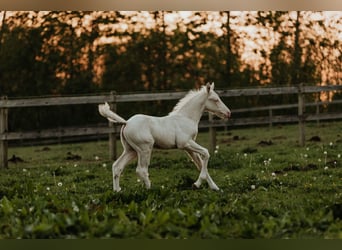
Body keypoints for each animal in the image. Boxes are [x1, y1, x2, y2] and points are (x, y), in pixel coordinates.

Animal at [100, 82, 231, 191]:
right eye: (215, 99)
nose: (228, 113)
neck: (186, 118)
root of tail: (126, 122)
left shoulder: (189, 147)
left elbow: (200, 164)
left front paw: (214, 187)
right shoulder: (185, 143)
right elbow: (206, 153)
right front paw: (196, 184)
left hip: (131, 150)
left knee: (117, 166)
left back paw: (117, 191)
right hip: (144, 149)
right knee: (141, 170)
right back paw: (150, 189)